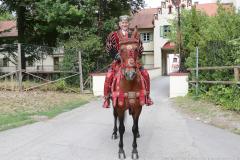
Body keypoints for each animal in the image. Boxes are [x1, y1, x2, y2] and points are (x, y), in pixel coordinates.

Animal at [109, 28, 145, 159]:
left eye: (136, 49)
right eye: (121, 50)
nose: (130, 74)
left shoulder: (138, 107)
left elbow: (134, 127)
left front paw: (134, 150)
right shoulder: (119, 107)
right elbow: (121, 128)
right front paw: (121, 150)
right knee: (115, 117)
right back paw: (114, 133)